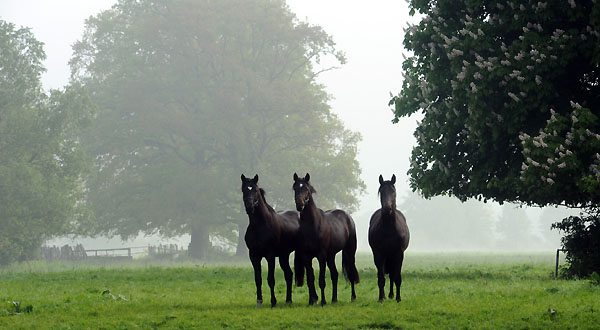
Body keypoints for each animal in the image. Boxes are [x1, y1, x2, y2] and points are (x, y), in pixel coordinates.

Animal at [240, 174, 300, 308]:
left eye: (255, 190)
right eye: (244, 190)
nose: (250, 207)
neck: (260, 226)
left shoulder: (270, 256)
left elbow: (270, 279)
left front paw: (273, 302)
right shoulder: (254, 256)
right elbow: (258, 279)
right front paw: (259, 301)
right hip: (283, 256)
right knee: (289, 275)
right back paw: (288, 300)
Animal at [292, 174, 358, 306]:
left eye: (306, 189)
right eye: (295, 188)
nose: (300, 205)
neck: (312, 226)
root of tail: (348, 217)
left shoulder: (321, 256)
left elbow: (321, 280)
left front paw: (322, 301)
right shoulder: (307, 257)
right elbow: (310, 279)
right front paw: (311, 301)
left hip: (349, 252)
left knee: (351, 272)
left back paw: (353, 297)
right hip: (331, 256)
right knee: (334, 274)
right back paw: (334, 299)